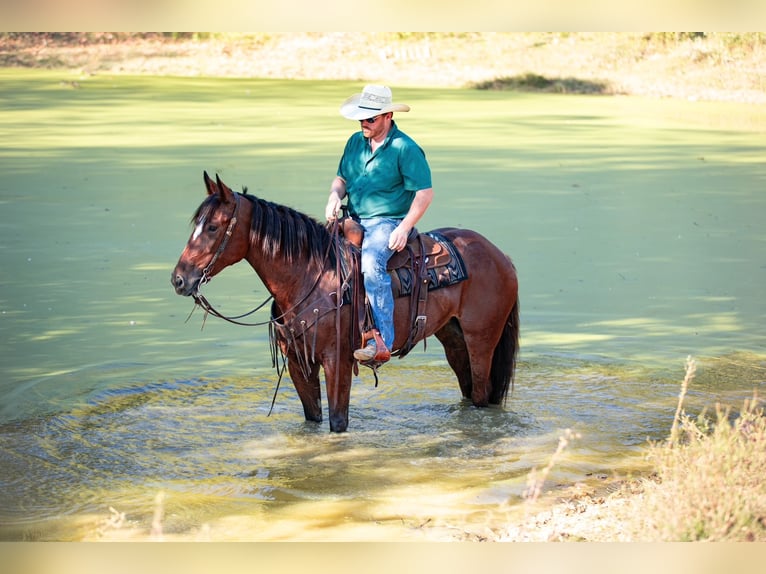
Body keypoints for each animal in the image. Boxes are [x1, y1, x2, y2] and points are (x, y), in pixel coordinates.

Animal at [172, 172, 519, 432]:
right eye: (196, 225)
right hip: (453, 338)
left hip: (481, 340)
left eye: (213, 226)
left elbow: (337, 423)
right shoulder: (299, 362)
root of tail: (501, 255)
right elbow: (312, 418)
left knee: (480, 396)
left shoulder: (336, 362)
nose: (179, 279)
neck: (310, 275)